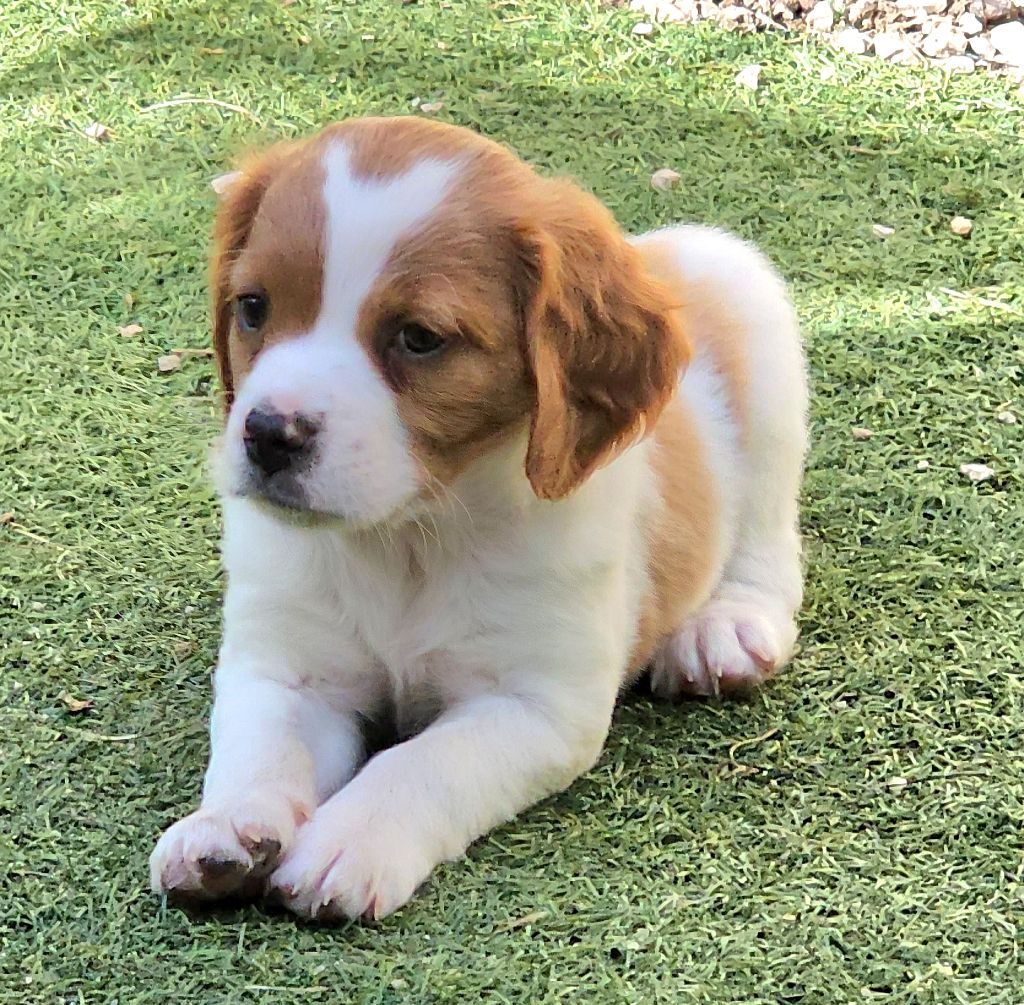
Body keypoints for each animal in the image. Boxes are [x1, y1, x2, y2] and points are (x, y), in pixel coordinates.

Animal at [149, 116, 807, 921]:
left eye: (419, 338)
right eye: (252, 307)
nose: (269, 434)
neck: (406, 536)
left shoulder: (533, 703)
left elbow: (424, 761)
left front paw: (350, 841)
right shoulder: (287, 668)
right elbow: (261, 745)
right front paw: (225, 826)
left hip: (753, 316)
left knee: (768, 537)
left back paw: (726, 629)